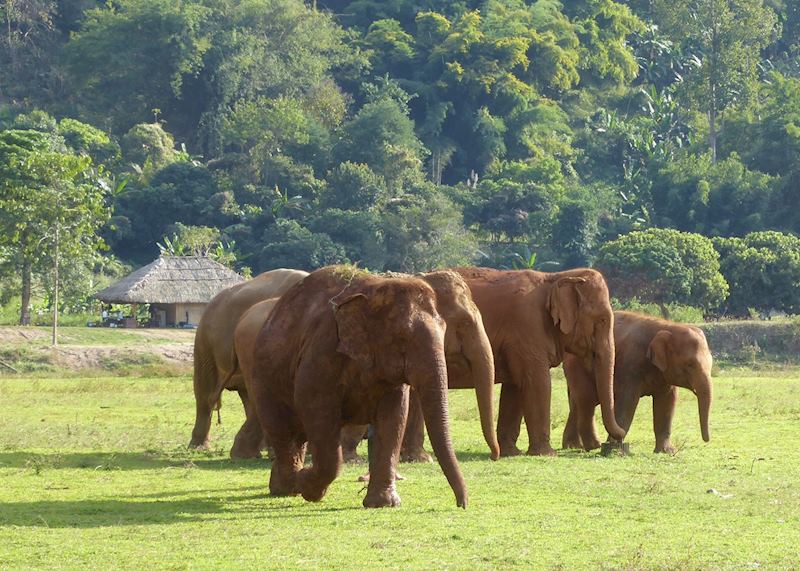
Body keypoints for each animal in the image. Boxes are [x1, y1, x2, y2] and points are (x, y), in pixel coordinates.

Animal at [248, 266, 474, 508]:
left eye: (444, 330)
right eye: (402, 337)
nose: (462, 504)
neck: (373, 289)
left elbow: (394, 416)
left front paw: (383, 503)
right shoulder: (322, 351)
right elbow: (315, 407)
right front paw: (308, 487)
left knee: (296, 435)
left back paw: (284, 485)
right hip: (263, 378)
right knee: (282, 430)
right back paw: (289, 487)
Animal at [411, 267, 625, 457]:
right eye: (602, 320)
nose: (609, 442)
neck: (555, 277)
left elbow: (515, 386)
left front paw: (511, 453)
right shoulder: (527, 327)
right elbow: (538, 383)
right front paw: (547, 454)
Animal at [562, 311, 713, 454]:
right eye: (690, 365)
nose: (707, 439)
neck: (668, 326)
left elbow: (667, 402)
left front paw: (666, 452)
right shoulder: (630, 363)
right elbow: (627, 401)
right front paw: (615, 447)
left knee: (576, 403)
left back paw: (573, 446)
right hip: (577, 364)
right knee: (586, 399)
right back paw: (591, 446)